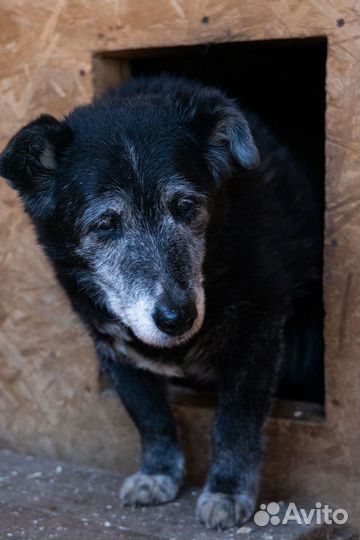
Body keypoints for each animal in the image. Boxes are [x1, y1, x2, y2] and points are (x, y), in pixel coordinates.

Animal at [0, 75, 320, 528]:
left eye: (185, 206)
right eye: (105, 224)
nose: (176, 317)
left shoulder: (257, 337)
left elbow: (235, 423)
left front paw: (227, 491)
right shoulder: (114, 351)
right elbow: (150, 416)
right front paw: (159, 474)